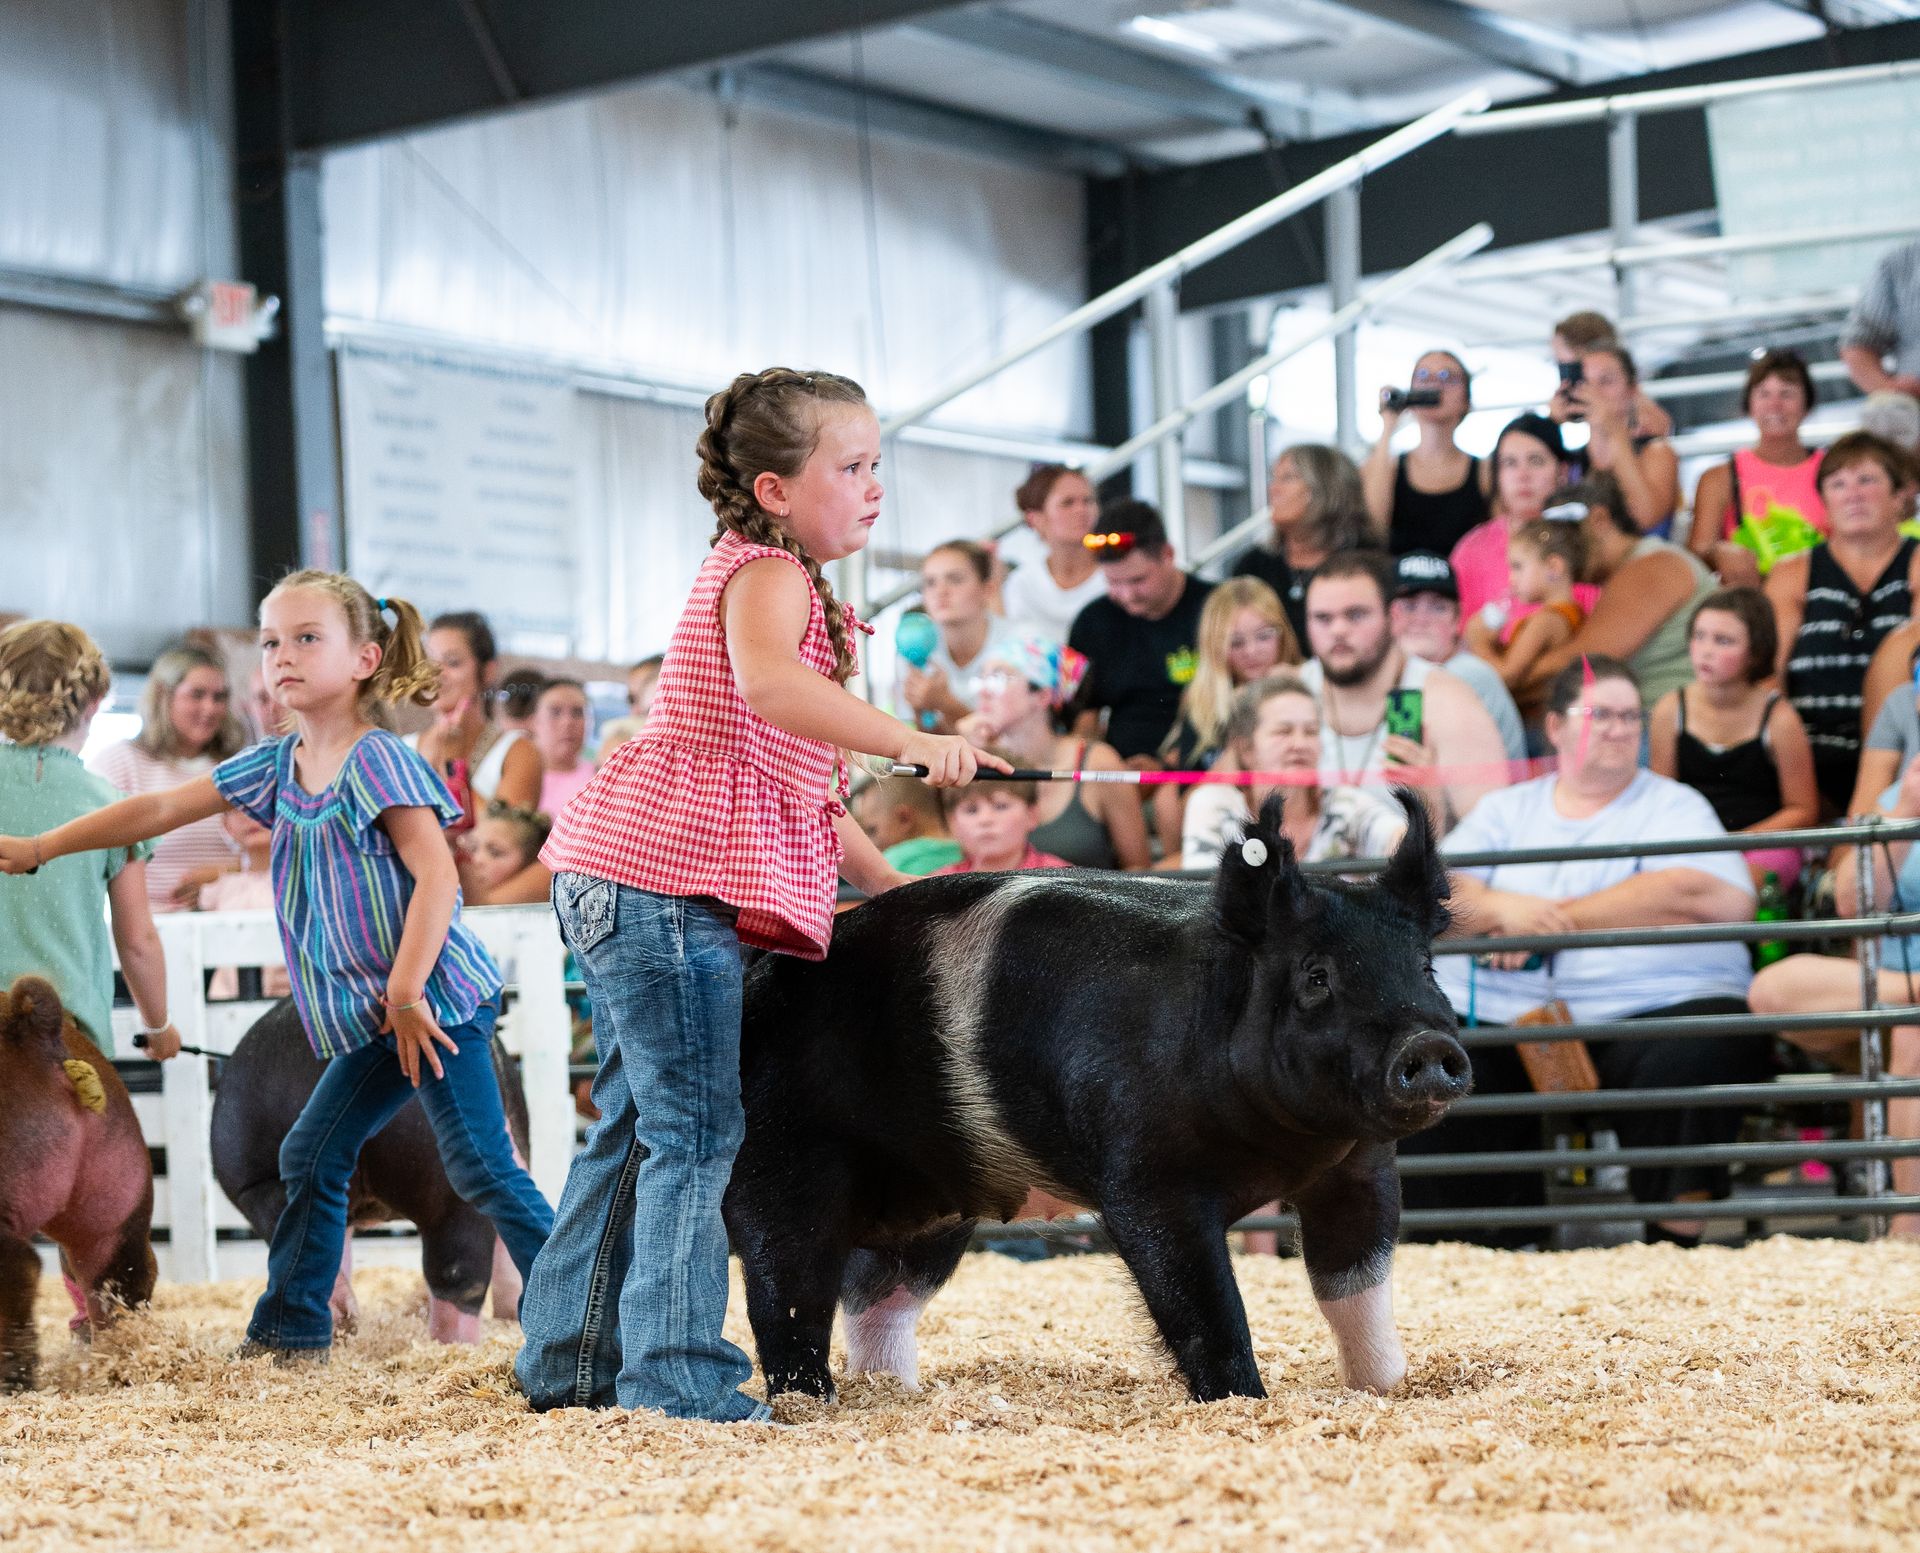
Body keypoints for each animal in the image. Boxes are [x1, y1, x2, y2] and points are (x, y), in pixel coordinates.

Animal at [723, 792, 1468, 1404]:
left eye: (1424, 968)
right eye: (1317, 977)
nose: (1428, 1043)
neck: (1281, 1151)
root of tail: (756, 987)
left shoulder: (1359, 1171)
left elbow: (1356, 1288)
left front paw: (1384, 1388)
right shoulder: (1145, 1178)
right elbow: (1204, 1306)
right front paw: (1242, 1402)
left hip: (937, 1199)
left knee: (877, 1297)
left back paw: (898, 1390)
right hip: (783, 1156)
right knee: (789, 1289)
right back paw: (812, 1402)